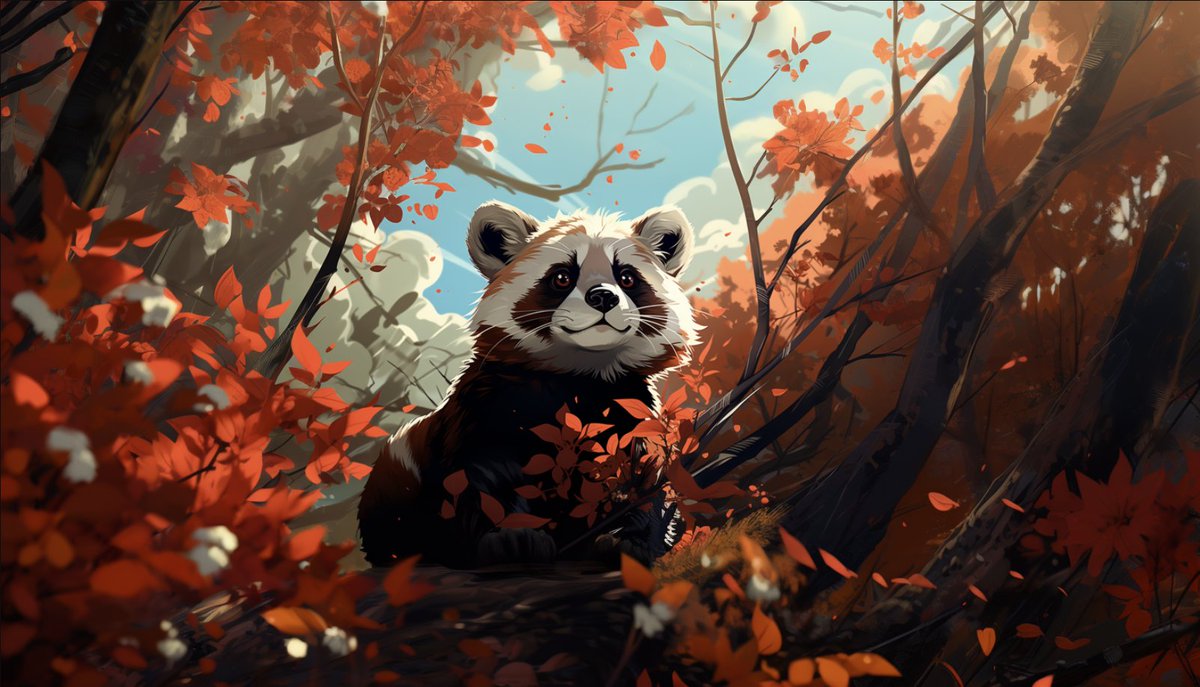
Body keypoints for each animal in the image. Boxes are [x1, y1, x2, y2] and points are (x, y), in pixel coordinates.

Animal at [357, 200, 699, 568]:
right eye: (562, 277)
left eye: (627, 277)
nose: (604, 298)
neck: (583, 373)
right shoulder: (489, 408)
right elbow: (481, 478)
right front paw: (512, 537)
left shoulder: (629, 412)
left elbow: (643, 480)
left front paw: (630, 539)